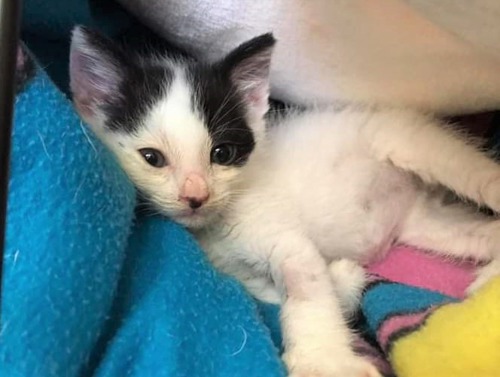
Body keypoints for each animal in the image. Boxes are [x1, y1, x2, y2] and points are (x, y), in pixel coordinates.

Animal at [69, 27, 500, 376]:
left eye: (222, 154)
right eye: (152, 158)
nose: (196, 196)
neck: (219, 224)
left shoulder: (285, 240)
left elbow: (303, 285)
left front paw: (323, 362)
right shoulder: (232, 270)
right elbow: (272, 294)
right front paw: (345, 279)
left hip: (408, 142)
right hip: (427, 225)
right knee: (480, 232)